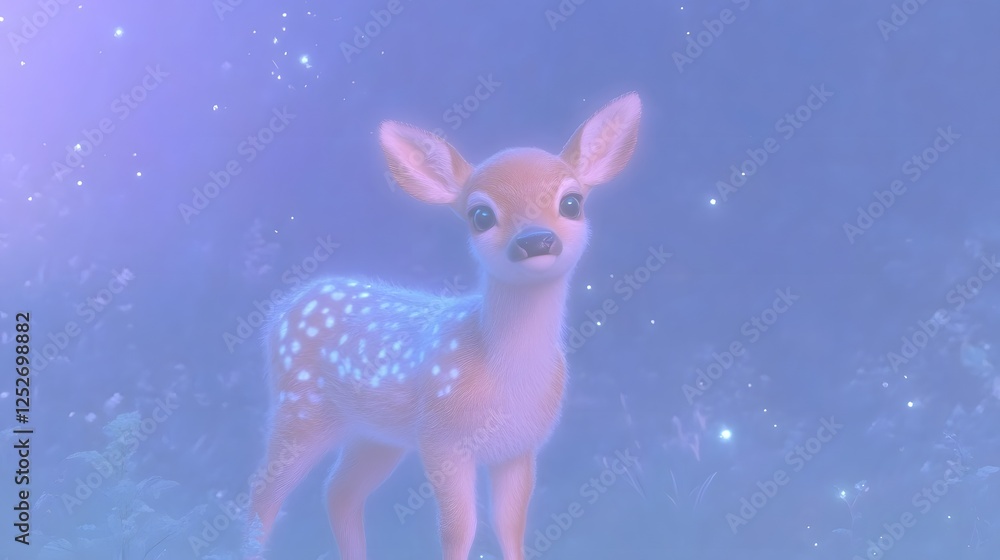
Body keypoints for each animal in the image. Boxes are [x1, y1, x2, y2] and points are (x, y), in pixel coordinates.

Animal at [245, 92, 642, 560]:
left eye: (572, 203)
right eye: (481, 215)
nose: (535, 241)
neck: (505, 375)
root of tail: (285, 307)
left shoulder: (519, 447)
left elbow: (510, 526)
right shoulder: (442, 438)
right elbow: (459, 529)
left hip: (376, 435)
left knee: (339, 492)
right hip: (301, 406)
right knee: (263, 495)